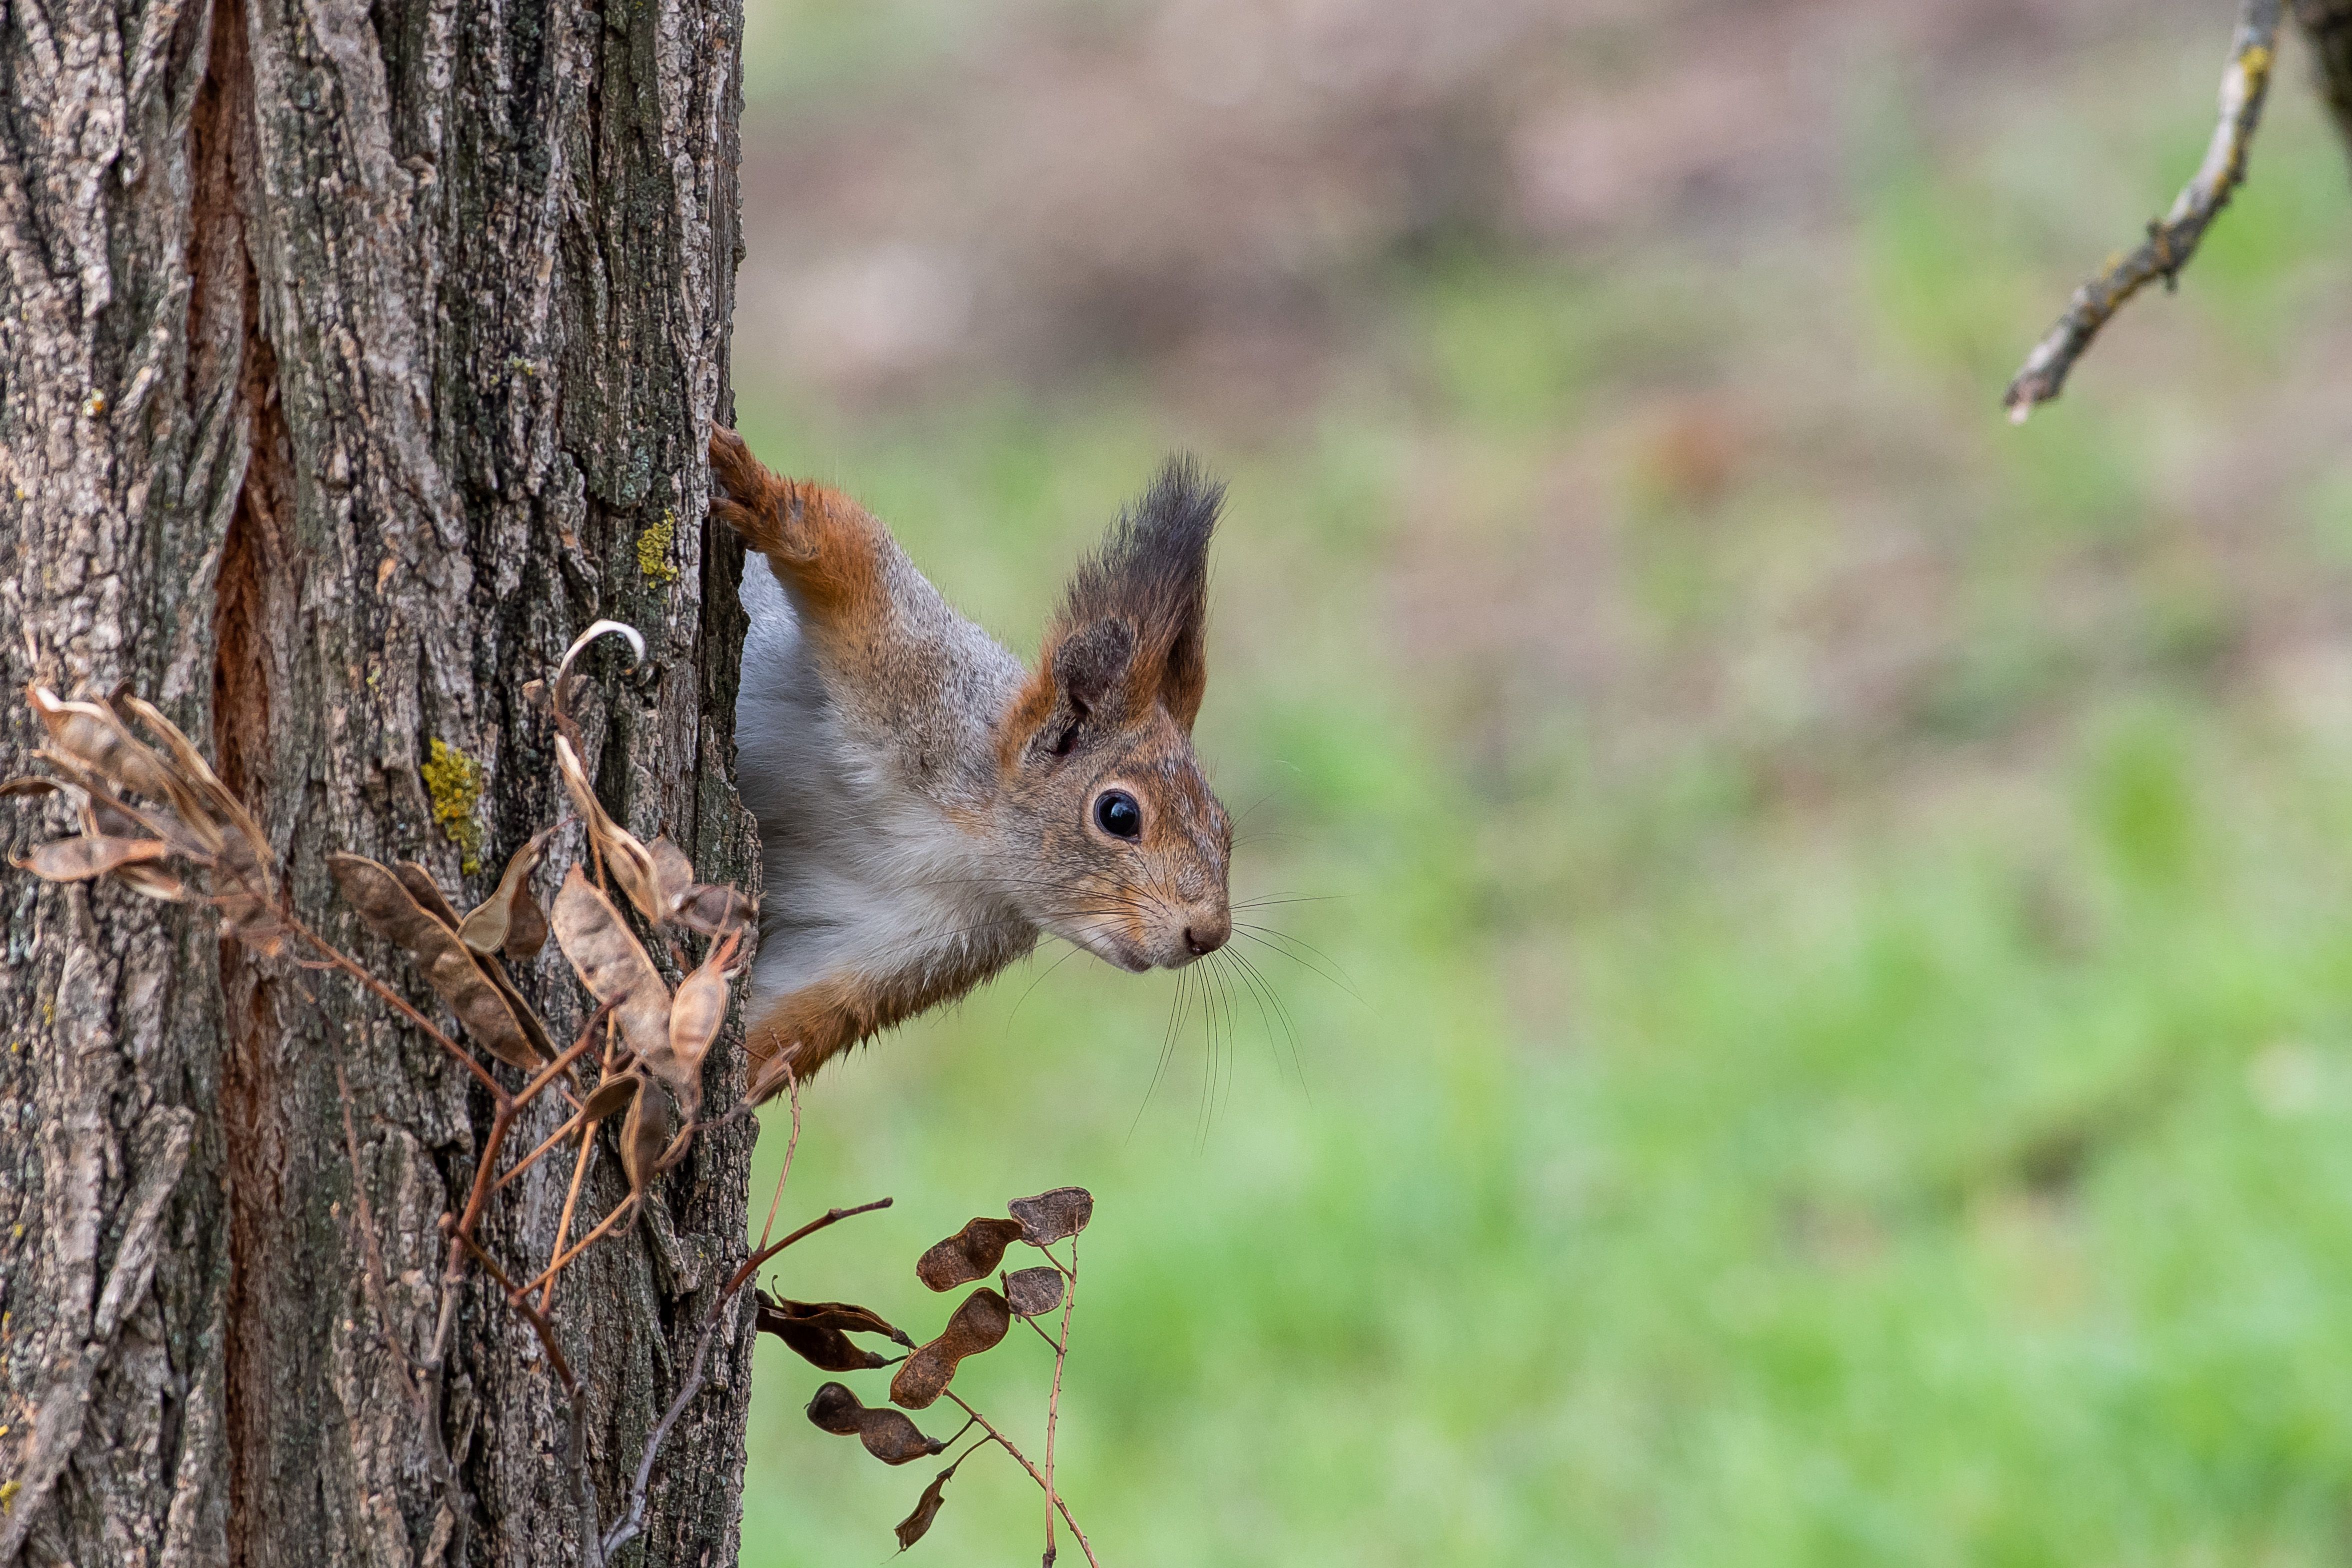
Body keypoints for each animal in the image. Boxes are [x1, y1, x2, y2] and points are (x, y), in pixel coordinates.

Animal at [705, 423, 1242, 1100]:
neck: (970, 847)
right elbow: (849, 549)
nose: (1208, 934)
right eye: (1117, 813)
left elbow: (797, 1017)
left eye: (1226, 829)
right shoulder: (920, 678)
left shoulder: (914, 945)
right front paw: (762, 496)